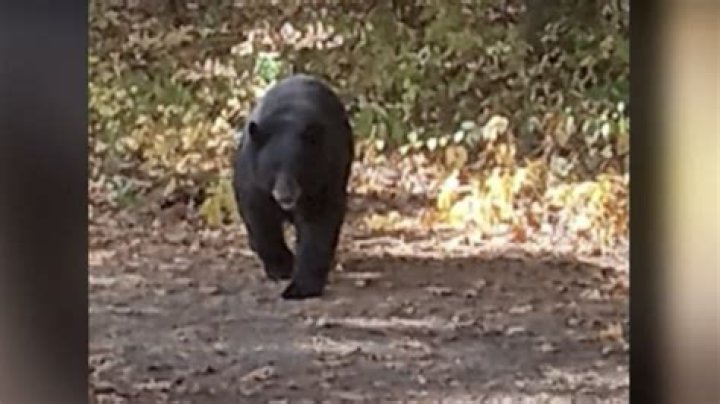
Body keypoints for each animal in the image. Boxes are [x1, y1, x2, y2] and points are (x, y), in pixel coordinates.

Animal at [232, 74, 354, 300]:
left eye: (299, 166)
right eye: (273, 167)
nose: (285, 195)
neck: (287, 123)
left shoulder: (324, 178)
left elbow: (319, 224)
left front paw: (301, 287)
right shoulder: (253, 179)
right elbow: (259, 218)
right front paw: (281, 267)